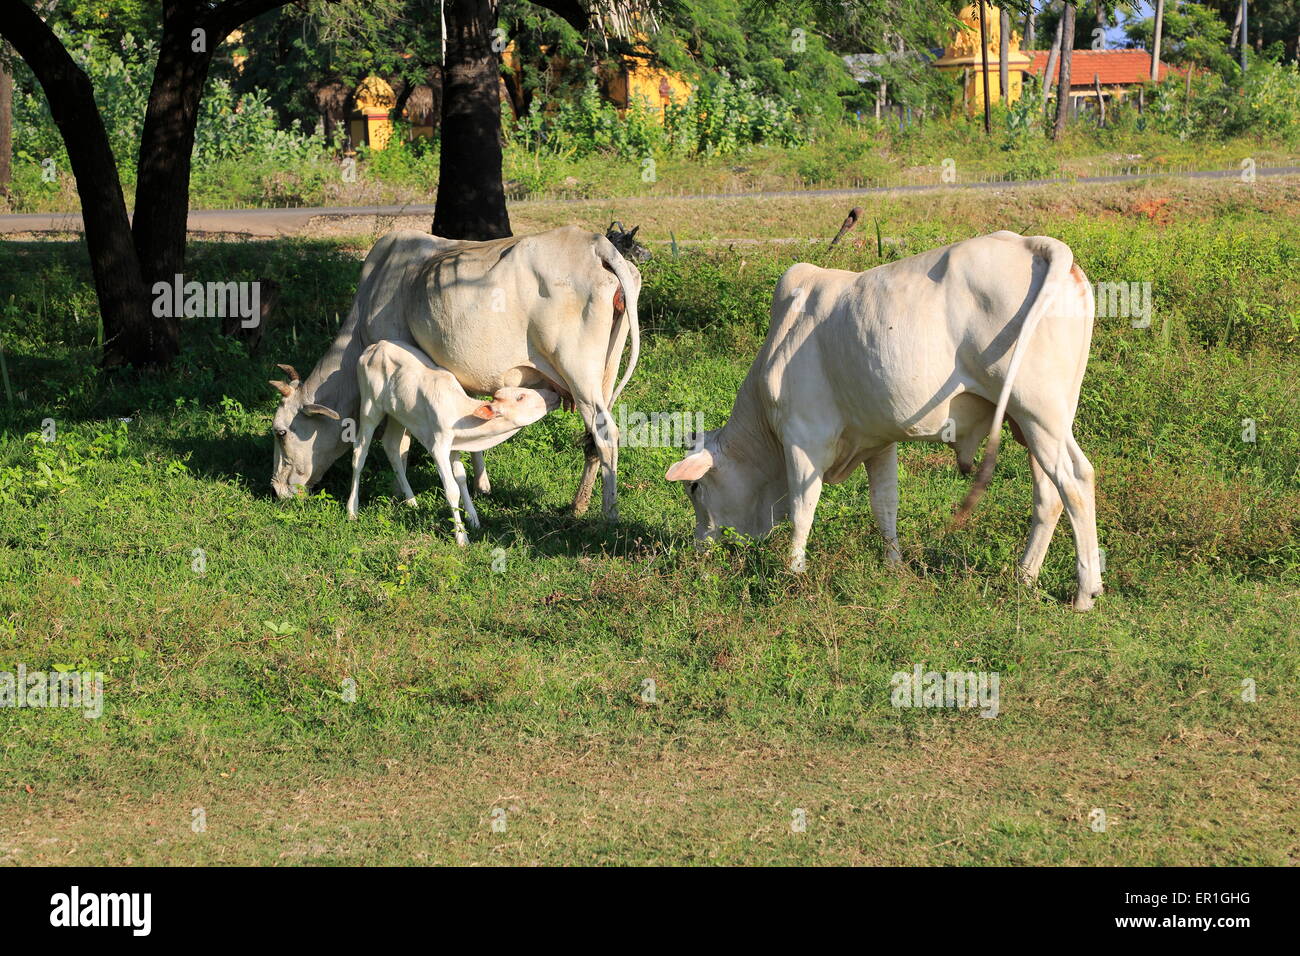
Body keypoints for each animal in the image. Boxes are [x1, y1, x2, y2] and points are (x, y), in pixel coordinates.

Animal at [270, 225, 639, 520]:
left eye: (281, 432)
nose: (276, 490)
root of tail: (593, 243)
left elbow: (401, 442)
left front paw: (400, 495)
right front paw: (480, 486)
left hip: (579, 373)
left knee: (605, 435)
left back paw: (609, 515)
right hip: (604, 375)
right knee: (593, 441)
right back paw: (578, 505)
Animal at [345, 340, 559, 541]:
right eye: (521, 396)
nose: (554, 393)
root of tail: (376, 345)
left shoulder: (455, 445)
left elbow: (461, 478)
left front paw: (473, 519)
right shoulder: (438, 445)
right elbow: (451, 488)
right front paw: (461, 536)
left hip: (399, 414)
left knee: (391, 446)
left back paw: (411, 501)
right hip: (369, 405)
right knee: (359, 453)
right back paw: (352, 510)